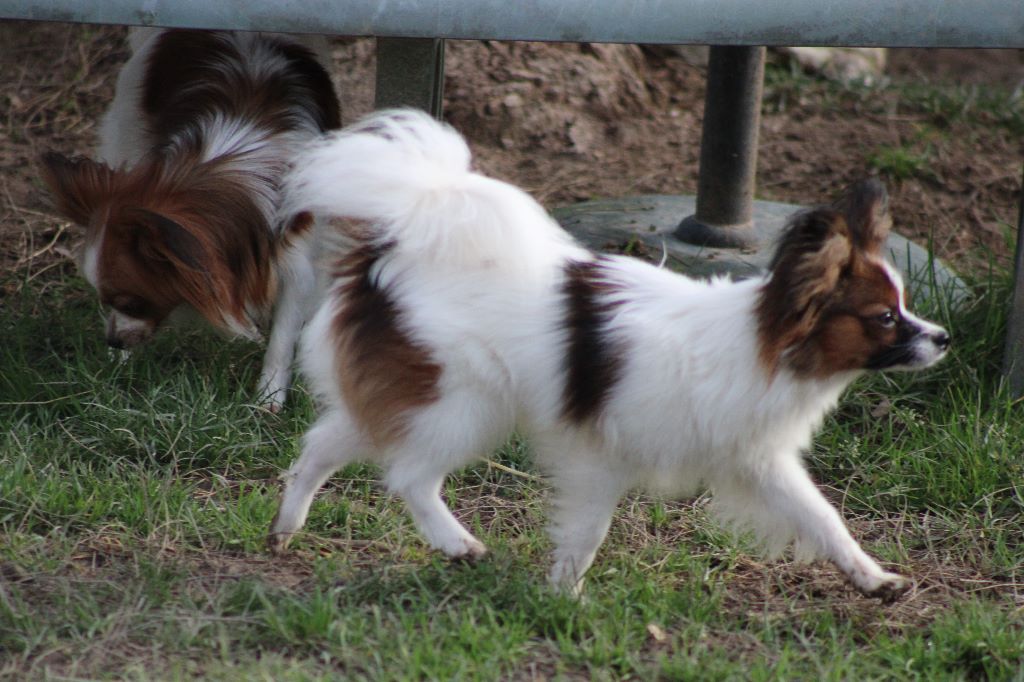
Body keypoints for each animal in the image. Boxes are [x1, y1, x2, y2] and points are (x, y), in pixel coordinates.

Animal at [40, 27, 339, 409]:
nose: (112, 341)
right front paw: (118, 363)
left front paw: (267, 399)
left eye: (131, 302)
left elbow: (283, 337)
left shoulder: (296, 258)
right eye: (104, 300)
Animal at [268, 109, 946, 598]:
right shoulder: (601, 458)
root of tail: (390, 251)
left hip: (412, 397)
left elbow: (823, 519)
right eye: (885, 318)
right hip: (463, 405)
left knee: (321, 445)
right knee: (408, 476)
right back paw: (456, 543)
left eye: (905, 305)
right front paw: (564, 599)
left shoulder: (758, 462)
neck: (760, 347)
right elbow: (587, 534)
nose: (942, 338)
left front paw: (875, 580)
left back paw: (285, 526)